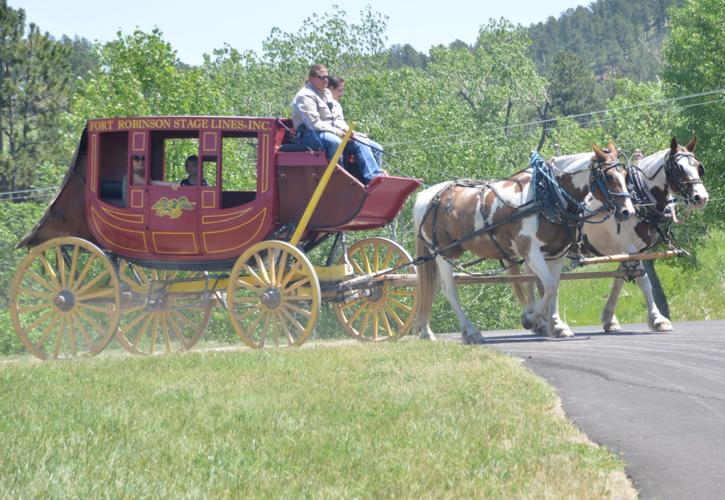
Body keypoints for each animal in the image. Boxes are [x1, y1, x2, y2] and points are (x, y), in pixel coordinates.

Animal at [412, 144, 635, 343]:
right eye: (608, 176)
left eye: (625, 175)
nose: (628, 212)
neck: (547, 195)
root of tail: (426, 197)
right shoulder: (531, 252)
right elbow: (549, 285)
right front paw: (530, 318)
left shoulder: (557, 254)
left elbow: (554, 287)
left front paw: (557, 326)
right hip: (444, 253)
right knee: (448, 290)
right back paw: (470, 332)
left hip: (437, 256)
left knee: (430, 285)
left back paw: (426, 331)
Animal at [580, 136, 708, 332]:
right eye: (678, 168)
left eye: (698, 166)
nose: (701, 197)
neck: (637, 199)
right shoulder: (629, 248)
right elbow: (645, 281)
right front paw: (658, 319)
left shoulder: (633, 251)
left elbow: (620, 279)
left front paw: (609, 319)